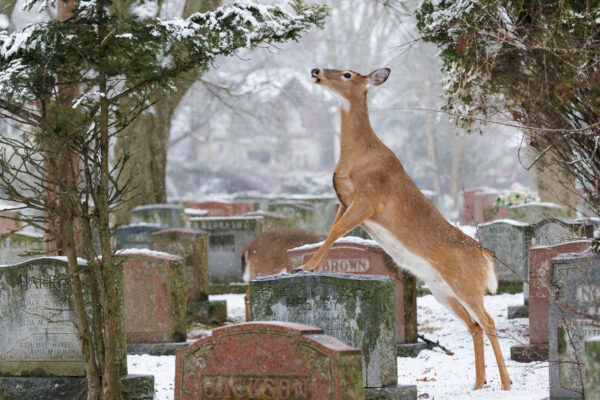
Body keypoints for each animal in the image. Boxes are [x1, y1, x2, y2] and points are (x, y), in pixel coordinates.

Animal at [296, 68, 510, 390]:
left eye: (347, 73)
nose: (315, 71)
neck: (357, 155)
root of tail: (485, 257)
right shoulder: (345, 202)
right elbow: (332, 231)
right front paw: (309, 265)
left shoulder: (369, 199)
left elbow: (335, 233)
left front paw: (306, 267)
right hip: (442, 290)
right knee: (474, 325)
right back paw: (477, 384)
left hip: (467, 284)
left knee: (489, 321)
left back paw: (507, 384)